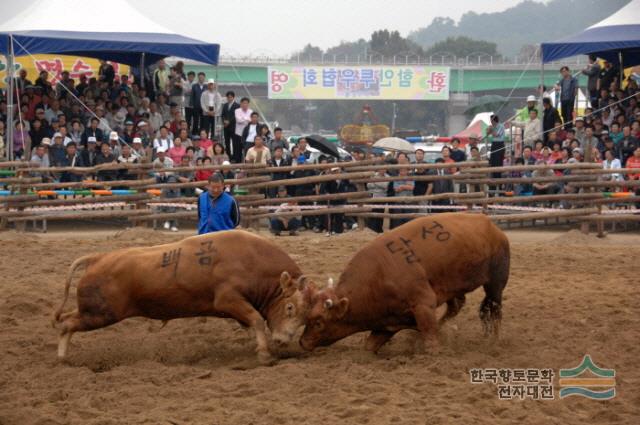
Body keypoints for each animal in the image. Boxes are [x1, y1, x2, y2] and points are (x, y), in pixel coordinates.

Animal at [52, 229, 312, 364]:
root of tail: (97, 259)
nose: (283, 340)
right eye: (290, 307)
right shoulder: (228, 300)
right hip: (101, 314)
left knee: (67, 318)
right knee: (67, 324)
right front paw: (264, 353)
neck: (251, 260)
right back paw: (62, 358)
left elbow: (251, 322)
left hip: (92, 310)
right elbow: (256, 319)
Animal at [298, 214, 512, 352]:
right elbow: (368, 347)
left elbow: (431, 341)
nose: (302, 342)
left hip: (495, 282)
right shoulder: (386, 324)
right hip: (454, 287)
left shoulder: (424, 304)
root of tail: (494, 228)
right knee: (456, 306)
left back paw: (495, 341)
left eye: (318, 322)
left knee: (495, 309)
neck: (377, 278)